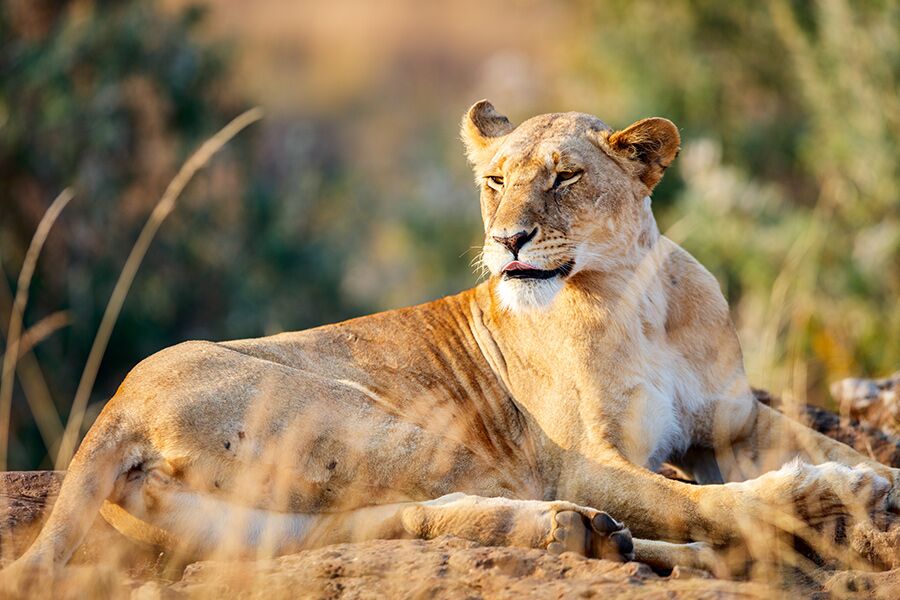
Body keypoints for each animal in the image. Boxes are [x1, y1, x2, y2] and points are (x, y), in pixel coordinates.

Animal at [4, 101, 898, 581]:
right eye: (495, 181)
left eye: (565, 176)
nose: (509, 241)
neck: (634, 295)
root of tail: (114, 410)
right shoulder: (578, 455)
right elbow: (691, 495)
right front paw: (842, 488)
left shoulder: (734, 422)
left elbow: (832, 444)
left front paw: (868, 475)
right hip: (399, 431)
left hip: (271, 520)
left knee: (390, 523)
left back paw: (585, 537)